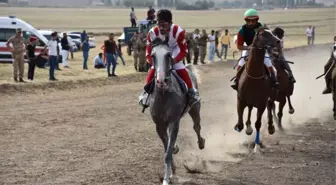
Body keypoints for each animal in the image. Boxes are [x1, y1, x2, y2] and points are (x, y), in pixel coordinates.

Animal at [147, 38, 205, 185]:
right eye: (153, 56)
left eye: (168, 55)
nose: (161, 81)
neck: (164, 96)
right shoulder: (159, 125)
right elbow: (167, 146)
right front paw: (172, 170)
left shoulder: (174, 122)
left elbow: (167, 152)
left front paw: (166, 179)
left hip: (195, 108)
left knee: (197, 126)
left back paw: (201, 143)